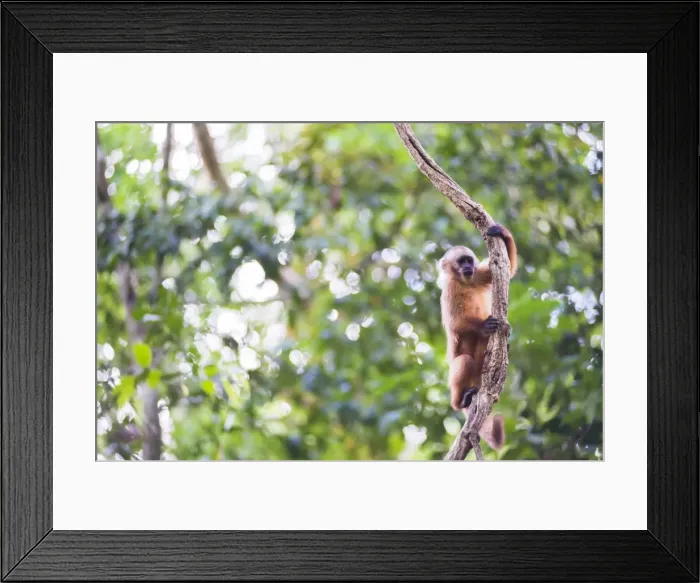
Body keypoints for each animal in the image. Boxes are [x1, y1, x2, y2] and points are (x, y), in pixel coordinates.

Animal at [439, 223, 518, 451]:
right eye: (461, 262)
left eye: (469, 260)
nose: (468, 267)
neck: (464, 281)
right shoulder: (449, 289)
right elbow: (455, 323)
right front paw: (483, 325)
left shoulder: (477, 274)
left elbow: (507, 270)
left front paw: (501, 232)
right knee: (464, 361)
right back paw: (460, 402)